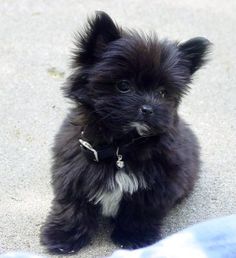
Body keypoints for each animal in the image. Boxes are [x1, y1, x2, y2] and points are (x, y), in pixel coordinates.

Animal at [39, 11, 211, 253]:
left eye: (163, 92)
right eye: (123, 85)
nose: (148, 109)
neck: (120, 148)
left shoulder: (156, 185)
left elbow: (141, 212)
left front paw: (134, 237)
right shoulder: (73, 172)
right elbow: (71, 206)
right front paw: (63, 236)